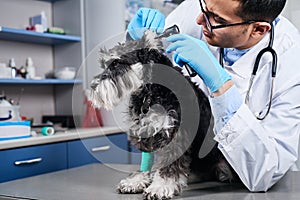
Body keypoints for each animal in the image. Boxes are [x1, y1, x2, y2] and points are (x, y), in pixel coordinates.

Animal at [90, 30, 238, 199]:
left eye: (116, 63)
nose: (92, 87)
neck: (150, 91)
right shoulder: (146, 131)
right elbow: (146, 160)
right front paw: (137, 180)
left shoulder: (175, 133)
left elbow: (170, 164)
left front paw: (160, 187)